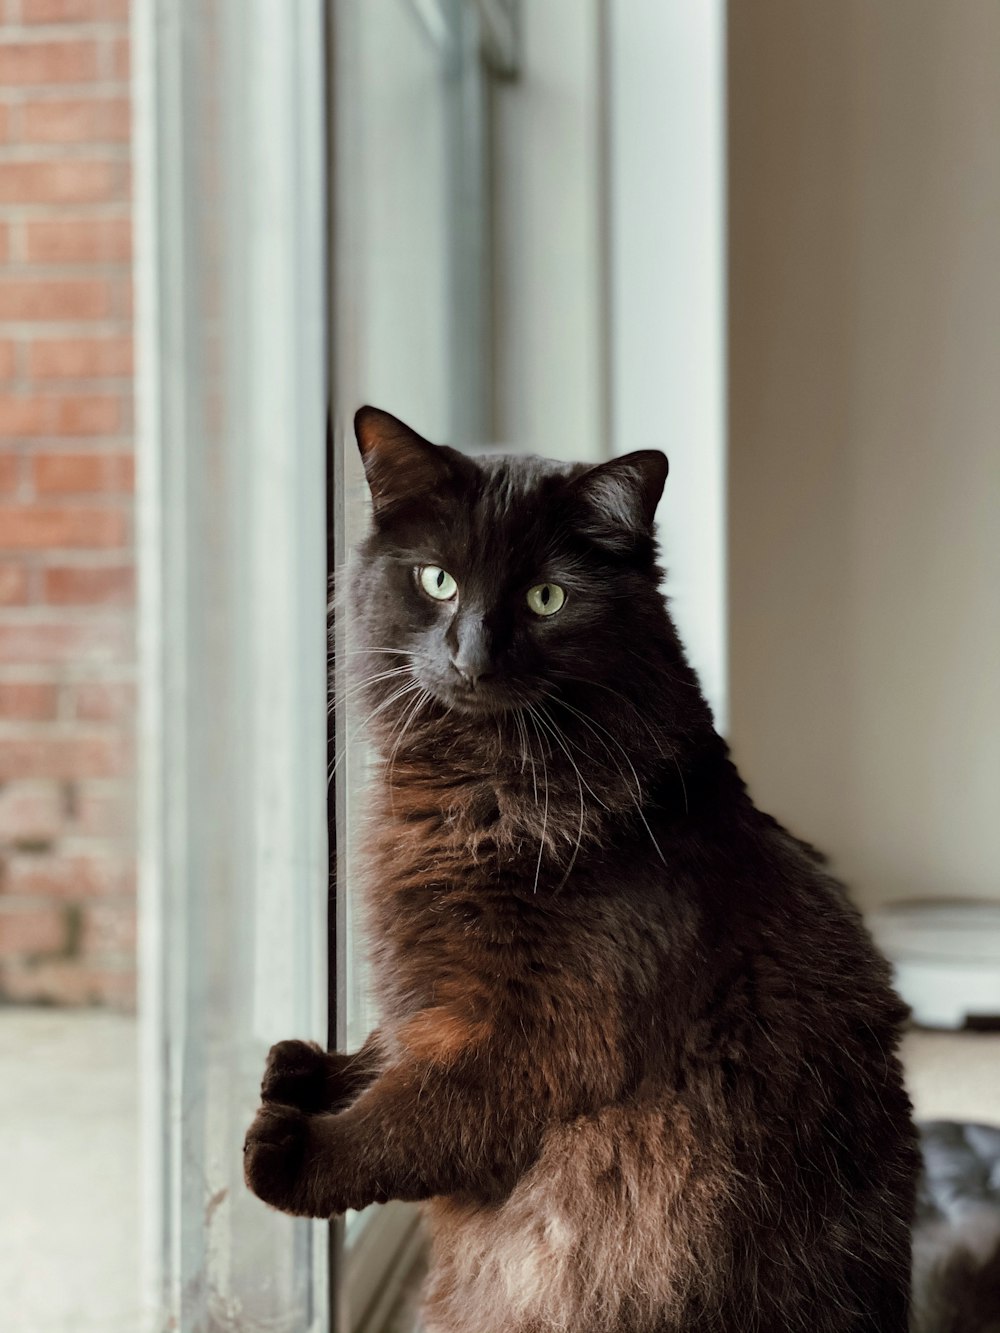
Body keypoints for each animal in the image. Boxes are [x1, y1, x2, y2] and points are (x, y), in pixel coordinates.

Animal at [246, 405, 922, 1333]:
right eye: (436, 580)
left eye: (547, 597)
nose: (472, 657)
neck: (478, 796)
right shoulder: (437, 992)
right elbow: (393, 1045)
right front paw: (311, 1069)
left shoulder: (545, 1040)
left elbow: (412, 1120)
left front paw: (297, 1148)